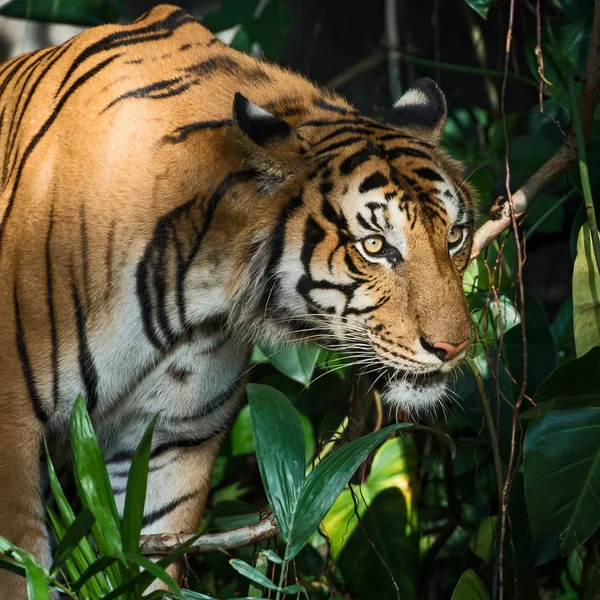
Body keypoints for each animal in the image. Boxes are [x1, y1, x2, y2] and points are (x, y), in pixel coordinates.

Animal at [0, 4, 474, 596]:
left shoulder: (170, 440)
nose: (454, 348)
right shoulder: (10, 437)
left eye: (454, 236)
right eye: (374, 246)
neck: (201, 291)